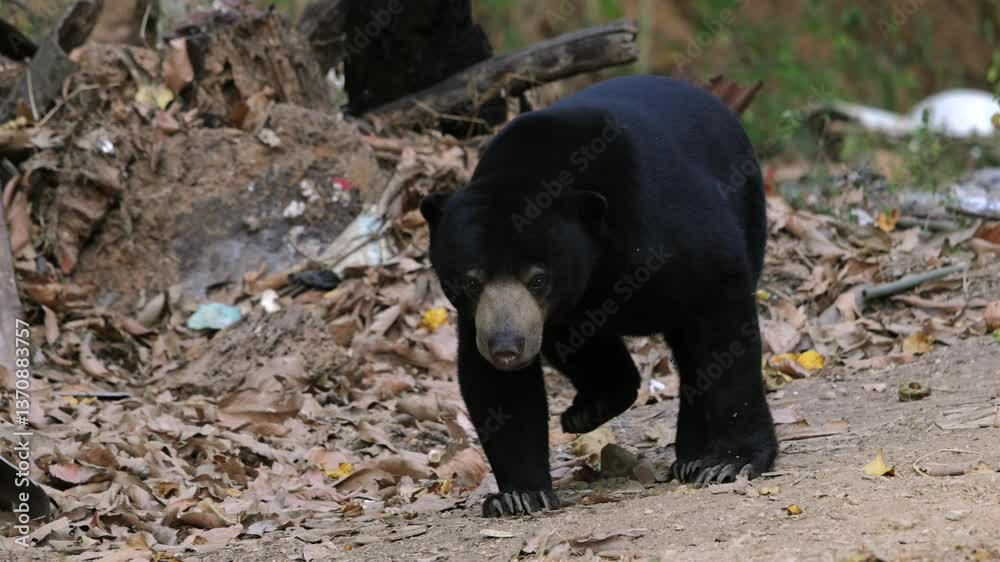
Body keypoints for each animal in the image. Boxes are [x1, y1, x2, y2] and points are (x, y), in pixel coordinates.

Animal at [420, 75, 778, 517]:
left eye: (538, 279)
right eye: (470, 281)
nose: (506, 348)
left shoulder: (667, 231)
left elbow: (722, 316)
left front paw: (731, 461)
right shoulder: (489, 315)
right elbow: (495, 386)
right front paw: (519, 495)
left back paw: (692, 456)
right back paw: (591, 408)